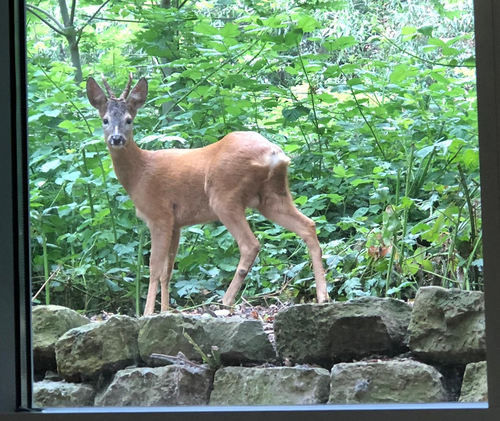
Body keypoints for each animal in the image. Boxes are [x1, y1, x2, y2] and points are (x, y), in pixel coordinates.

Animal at [86, 74, 328, 314]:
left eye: (129, 120)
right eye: (105, 120)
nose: (116, 139)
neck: (140, 173)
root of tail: (274, 154)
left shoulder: (159, 215)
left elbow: (154, 268)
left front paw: (147, 314)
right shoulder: (176, 223)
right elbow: (167, 271)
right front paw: (164, 311)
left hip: (225, 195)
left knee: (250, 245)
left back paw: (225, 301)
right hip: (271, 197)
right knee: (308, 226)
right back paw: (322, 296)